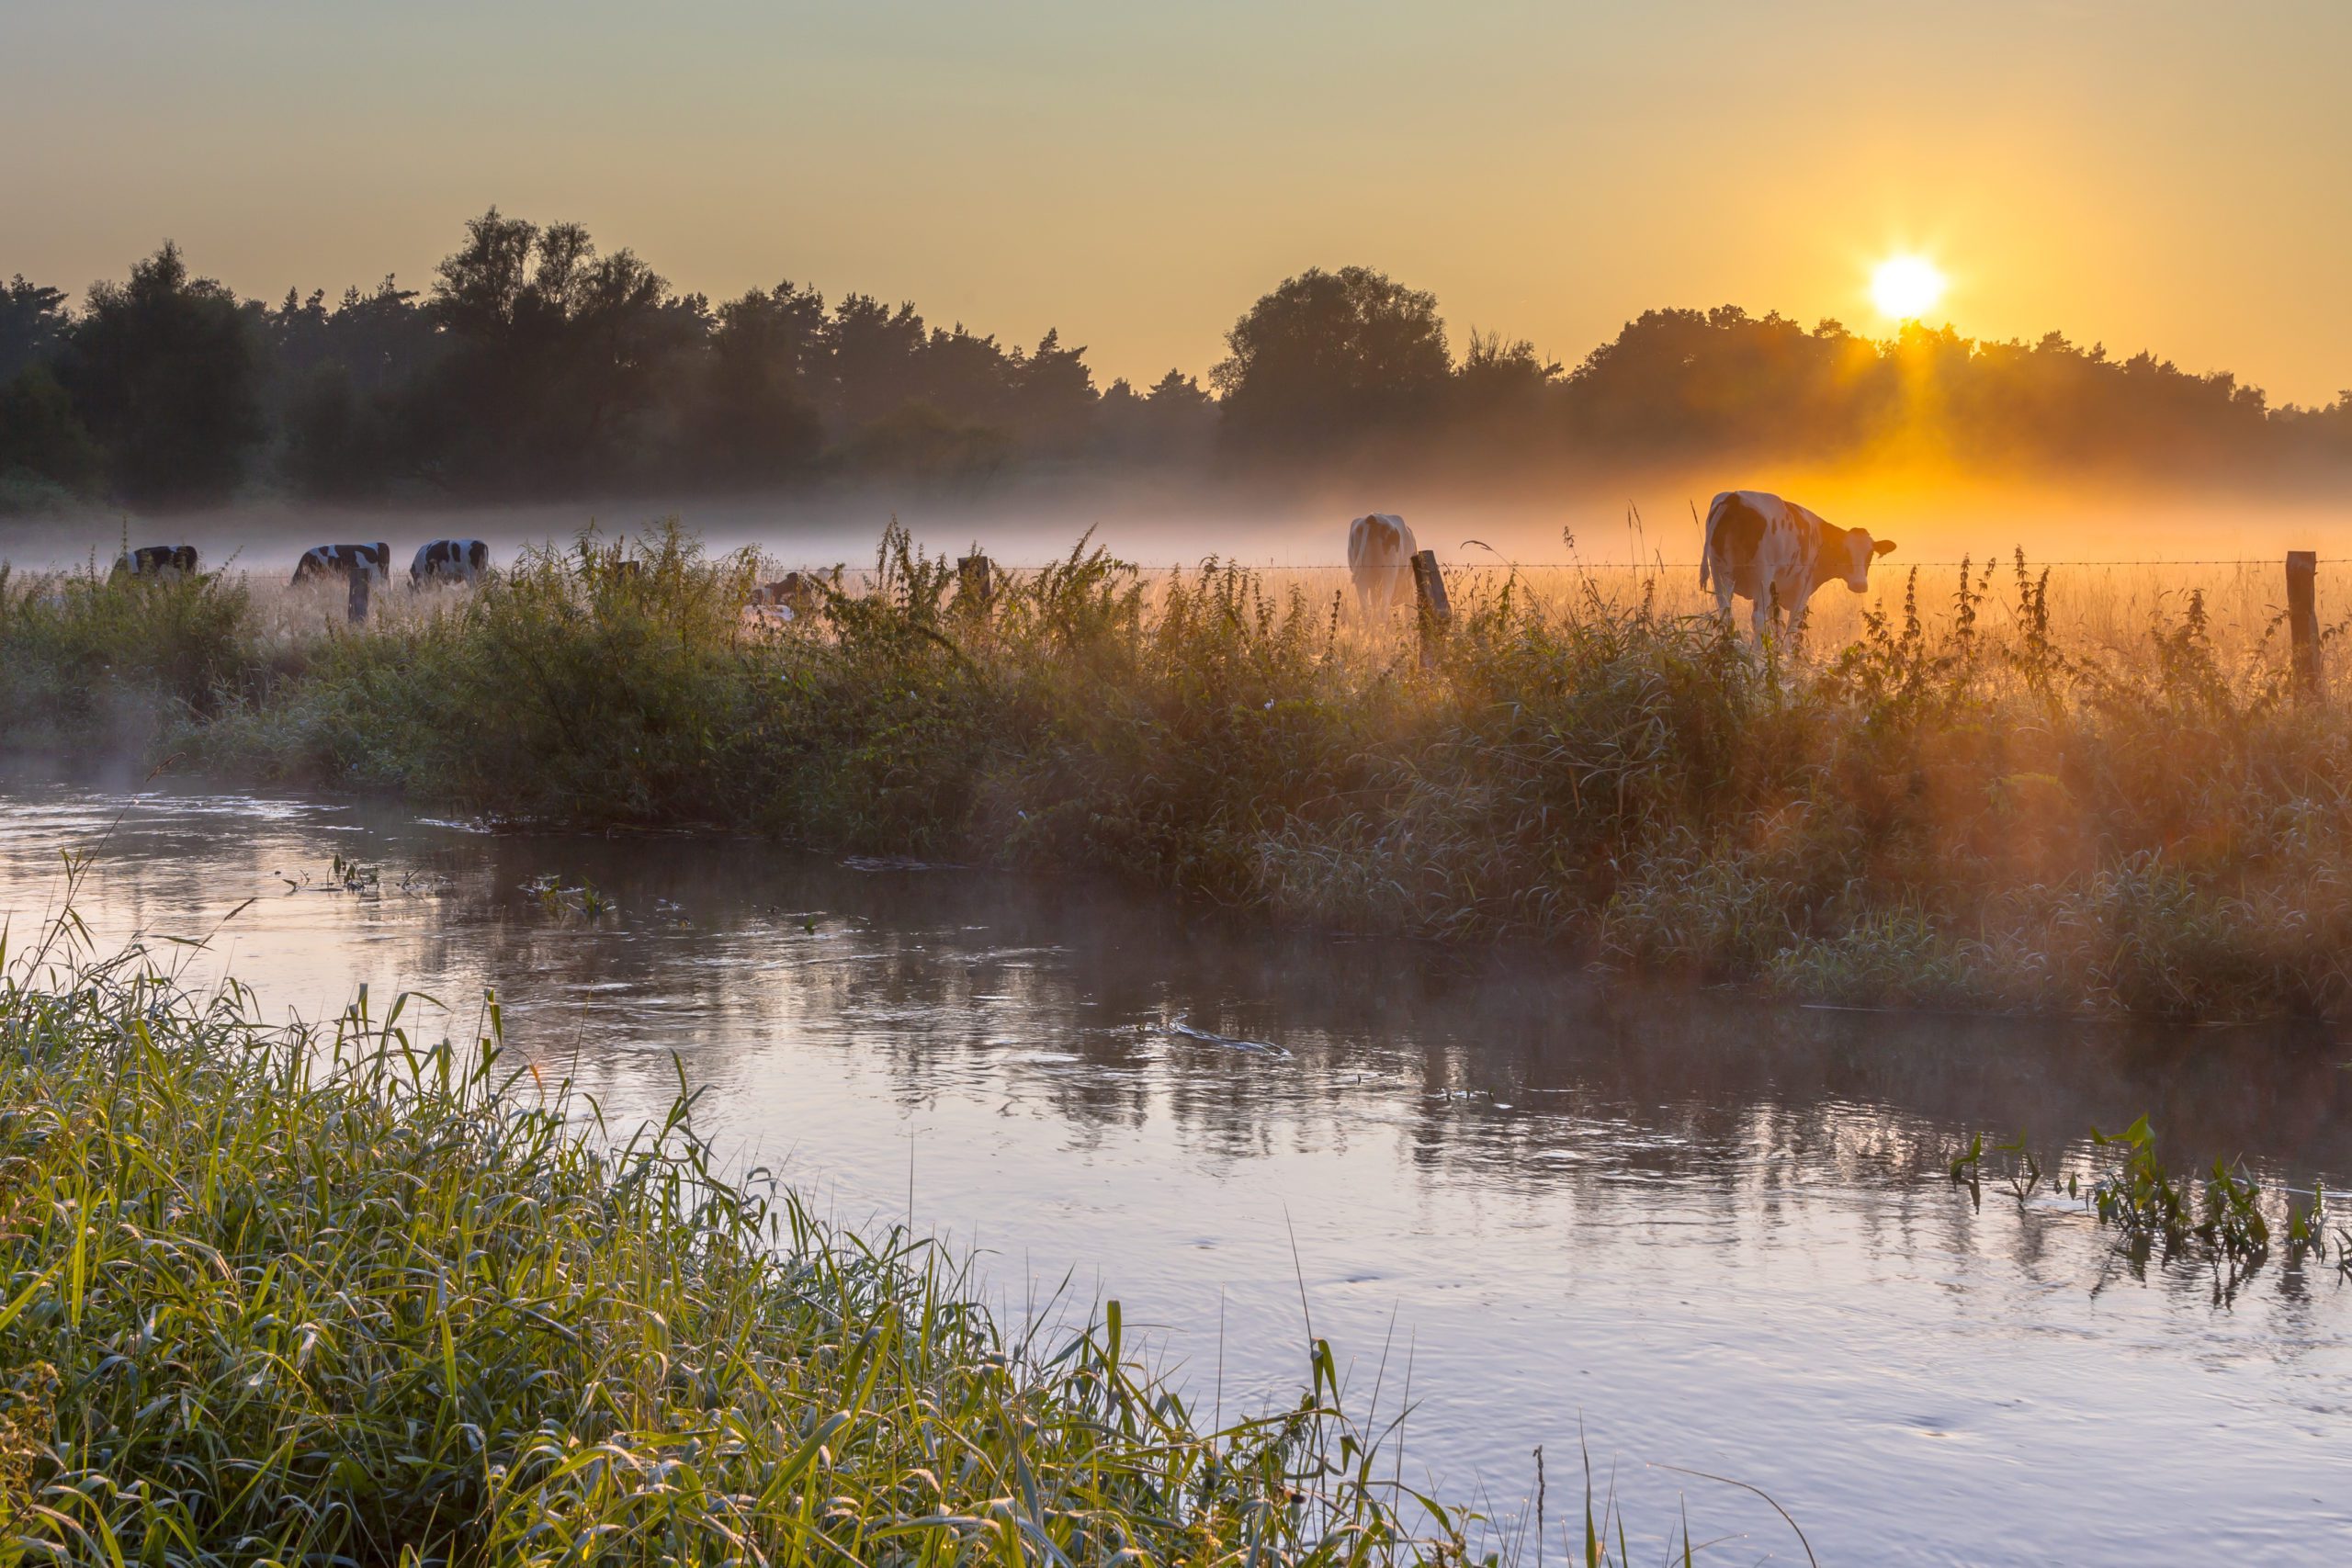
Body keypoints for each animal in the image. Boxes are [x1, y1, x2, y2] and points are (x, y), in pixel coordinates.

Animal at [1712, 491, 1891, 639]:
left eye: (1870, 554)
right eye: (1845, 552)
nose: (1860, 585)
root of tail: (1735, 498)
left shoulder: (1775, 594)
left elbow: (1777, 627)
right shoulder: (1801, 589)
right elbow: (1791, 626)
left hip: (1720, 572)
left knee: (1726, 614)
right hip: (1762, 576)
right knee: (1759, 619)